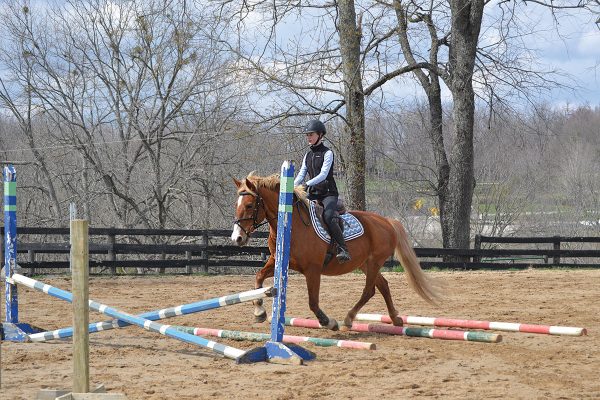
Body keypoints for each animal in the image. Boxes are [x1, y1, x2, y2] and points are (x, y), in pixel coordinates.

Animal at [232, 173, 438, 330]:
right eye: (237, 205)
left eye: (249, 205)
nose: (237, 238)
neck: (292, 225)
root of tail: (387, 221)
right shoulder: (278, 260)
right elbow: (258, 277)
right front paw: (259, 311)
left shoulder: (313, 270)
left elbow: (313, 301)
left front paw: (328, 322)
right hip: (364, 263)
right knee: (383, 286)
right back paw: (395, 319)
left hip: (374, 262)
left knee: (369, 290)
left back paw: (348, 318)